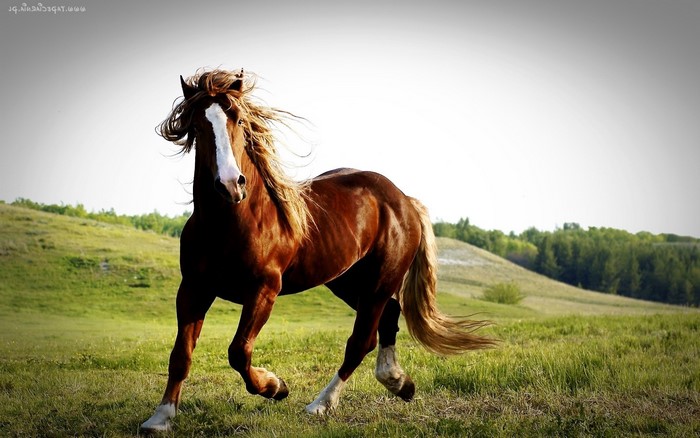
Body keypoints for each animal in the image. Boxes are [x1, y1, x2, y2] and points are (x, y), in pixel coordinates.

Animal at [141, 69, 495, 432]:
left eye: (238, 119)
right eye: (197, 126)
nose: (230, 185)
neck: (231, 223)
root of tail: (403, 199)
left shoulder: (264, 290)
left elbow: (239, 351)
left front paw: (276, 387)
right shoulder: (193, 289)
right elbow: (181, 355)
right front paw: (160, 418)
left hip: (378, 284)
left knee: (360, 341)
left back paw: (321, 404)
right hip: (348, 282)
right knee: (389, 317)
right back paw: (399, 383)